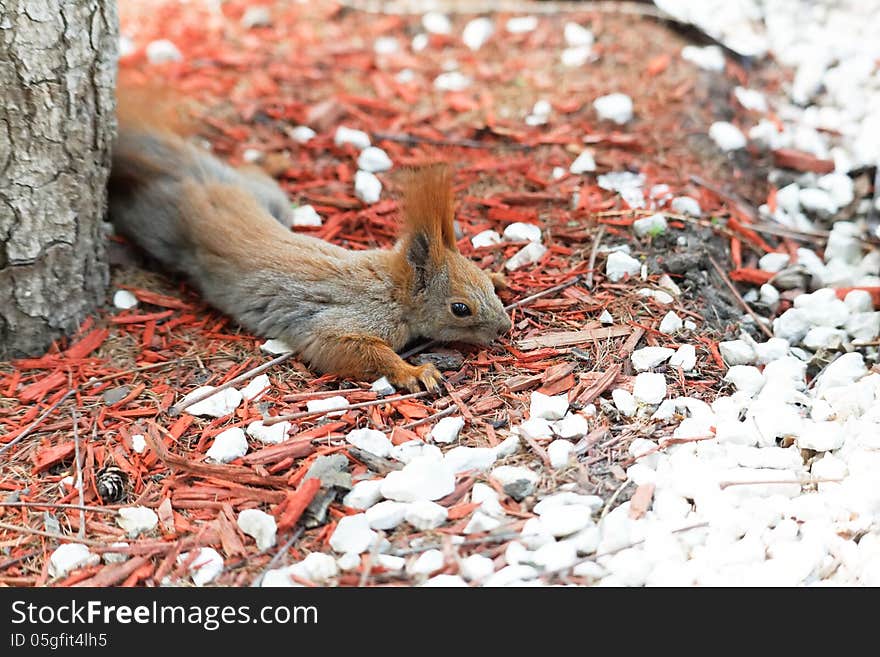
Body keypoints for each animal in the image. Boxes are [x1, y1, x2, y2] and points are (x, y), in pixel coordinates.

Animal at [106, 94, 512, 390]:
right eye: (460, 309)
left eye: (483, 283)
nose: (504, 328)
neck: (394, 289)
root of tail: (197, 177)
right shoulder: (342, 322)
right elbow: (353, 352)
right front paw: (413, 373)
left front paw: (502, 276)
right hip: (157, 224)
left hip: (268, 198)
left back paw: (274, 161)